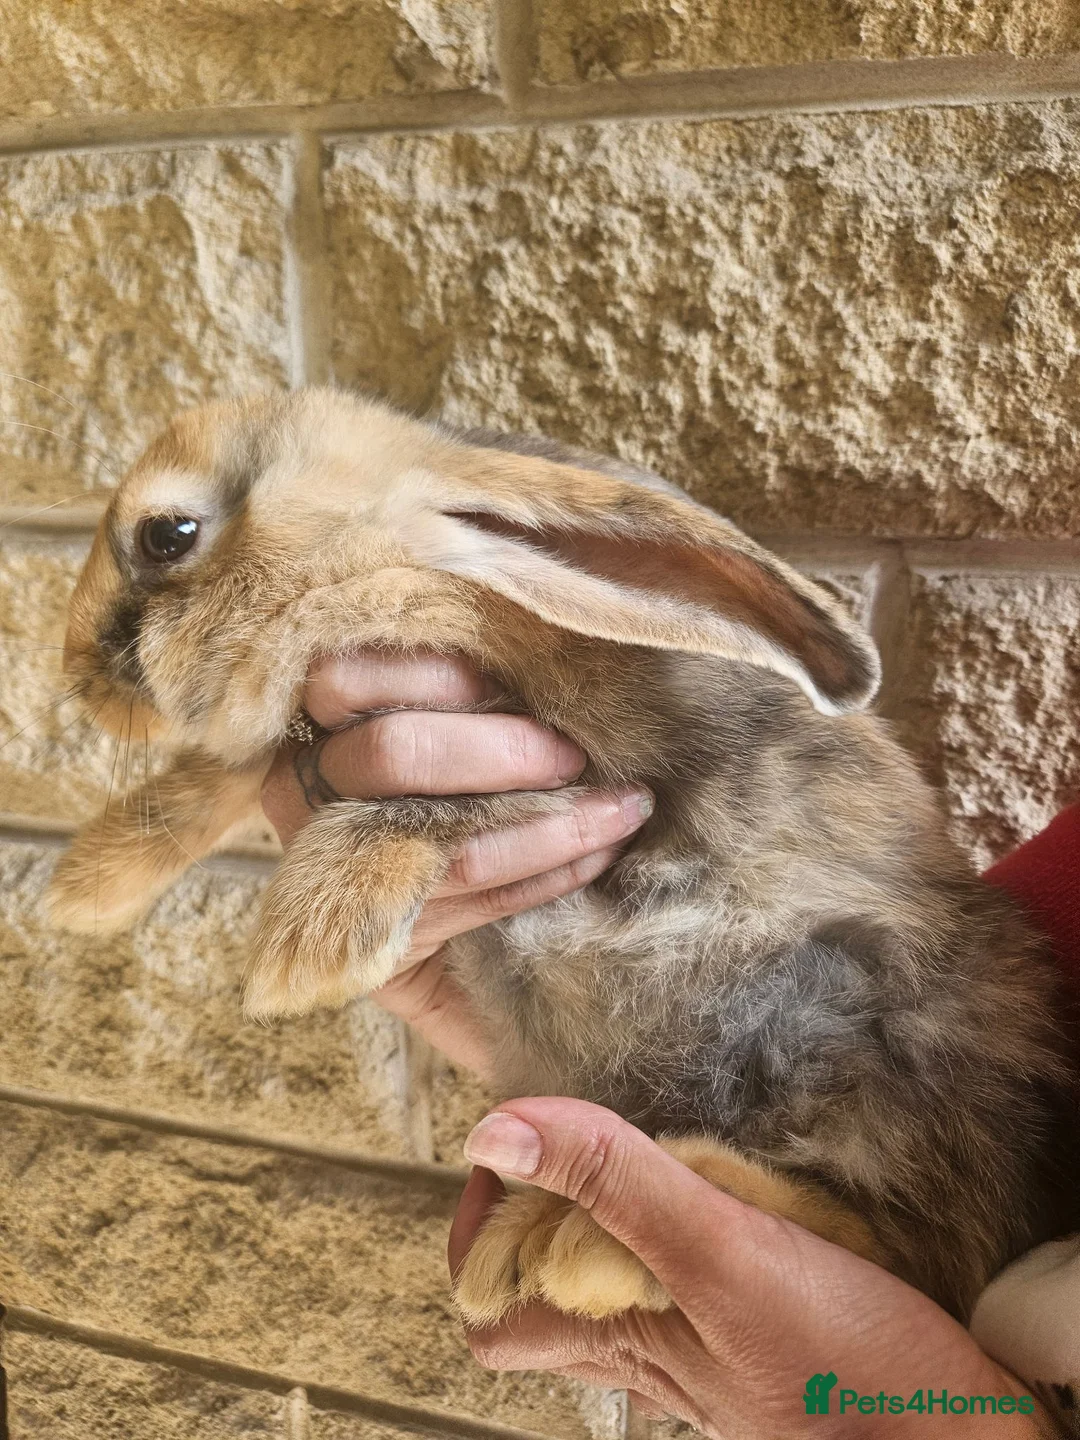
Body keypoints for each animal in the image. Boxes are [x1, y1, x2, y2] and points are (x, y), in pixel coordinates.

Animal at [48, 386, 1077, 1328]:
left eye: (169, 534)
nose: (79, 680)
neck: (387, 569)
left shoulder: (603, 793)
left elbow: (435, 804)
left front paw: (305, 950)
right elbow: (227, 770)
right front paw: (90, 886)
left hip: (844, 1031)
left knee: (898, 1247)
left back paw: (587, 1240)